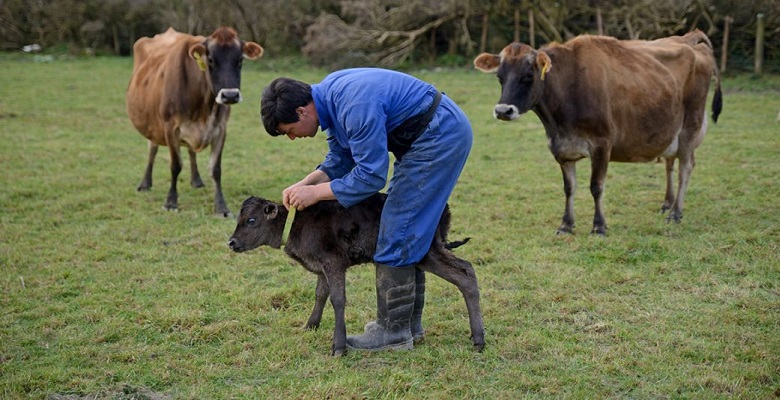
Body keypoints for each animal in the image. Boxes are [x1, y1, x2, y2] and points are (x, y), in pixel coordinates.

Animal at [126, 26, 264, 216]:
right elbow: (175, 165)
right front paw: (170, 202)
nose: (230, 95)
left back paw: (196, 180)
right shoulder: (170, 128)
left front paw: (221, 207)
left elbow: (216, 169)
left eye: (240, 60)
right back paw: (145, 183)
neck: (203, 107)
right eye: (211, 60)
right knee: (152, 149)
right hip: (152, 124)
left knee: (191, 151)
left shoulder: (220, 129)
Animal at [472, 32, 724, 238]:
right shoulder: (561, 147)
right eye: (500, 77)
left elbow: (596, 186)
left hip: (690, 125)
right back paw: (666, 204)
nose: (503, 111)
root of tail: (688, 38)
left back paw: (675, 212)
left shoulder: (602, 144)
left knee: (685, 167)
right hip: (669, 129)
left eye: (528, 75)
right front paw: (566, 225)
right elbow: (569, 188)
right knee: (670, 162)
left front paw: (599, 227)